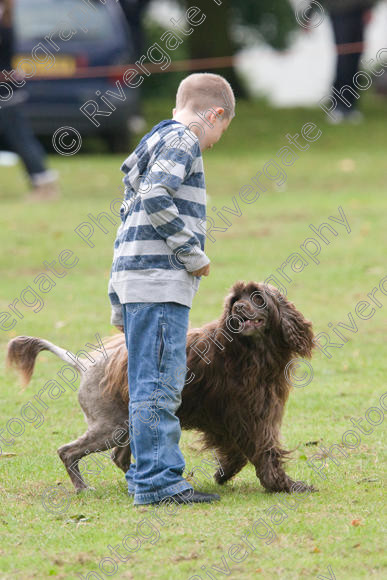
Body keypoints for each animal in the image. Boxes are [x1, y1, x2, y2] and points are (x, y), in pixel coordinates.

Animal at [6, 280, 316, 494]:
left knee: (119, 457)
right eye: (235, 300)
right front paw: (284, 485)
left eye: (257, 298)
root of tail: (84, 364)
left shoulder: (233, 416)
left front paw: (225, 474)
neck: (249, 350)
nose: (239, 309)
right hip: (110, 426)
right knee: (67, 451)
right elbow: (262, 451)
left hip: (127, 425)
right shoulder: (244, 415)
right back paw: (83, 488)